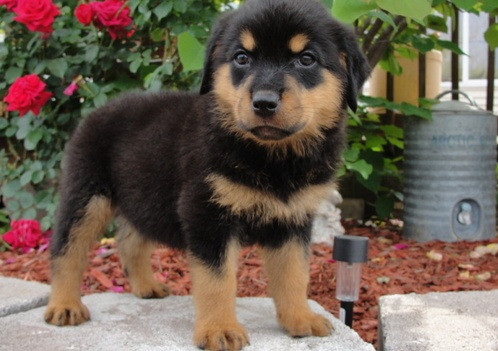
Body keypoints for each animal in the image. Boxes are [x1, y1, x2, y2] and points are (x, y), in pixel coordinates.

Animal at [43, 0, 370, 350]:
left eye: (306, 59)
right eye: (242, 57)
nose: (264, 102)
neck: (272, 158)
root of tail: (100, 108)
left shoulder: (292, 219)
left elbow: (294, 274)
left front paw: (300, 319)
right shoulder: (207, 213)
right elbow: (217, 280)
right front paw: (219, 330)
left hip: (147, 197)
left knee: (130, 240)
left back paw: (146, 286)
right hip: (86, 194)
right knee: (66, 249)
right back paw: (64, 306)